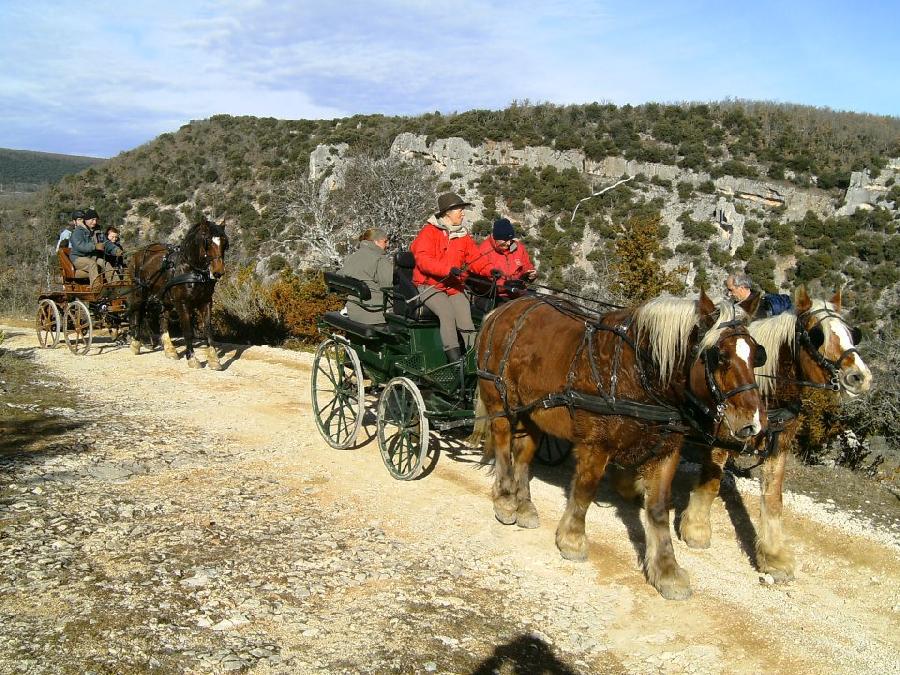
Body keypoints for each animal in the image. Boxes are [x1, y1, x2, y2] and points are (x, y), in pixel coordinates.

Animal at [128, 218, 230, 370]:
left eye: (224, 242)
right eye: (207, 241)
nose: (218, 272)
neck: (192, 269)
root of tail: (138, 253)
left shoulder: (206, 301)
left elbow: (208, 330)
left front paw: (214, 360)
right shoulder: (182, 303)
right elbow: (187, 331)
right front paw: (192, 358)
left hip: (164, 298)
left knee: (163, 319)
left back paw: (170, 350)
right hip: (139, 293)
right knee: (137, 313)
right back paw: (135, 343)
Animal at [472, 294, 768, 600]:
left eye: (756, 355)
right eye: (719, 356)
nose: (754, 423)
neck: (638, 373)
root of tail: (505, 308)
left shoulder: (666, 451)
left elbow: (659, 509)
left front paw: (667, 571)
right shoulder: (596, 444)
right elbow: (584, 491)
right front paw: (572, 540)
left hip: (533, 413)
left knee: (522, 456)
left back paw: (525, 507)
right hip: (498, 400)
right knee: (503, 446)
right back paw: (505, 500)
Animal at [684, 286, 872, 580]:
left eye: (851, 333)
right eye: (818, 334)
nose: (860, 377)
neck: (765, 388)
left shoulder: (779, 443)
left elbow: (773, 499)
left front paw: (773, 556)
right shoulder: (724, 435)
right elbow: (711, 481)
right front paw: (696, 529)